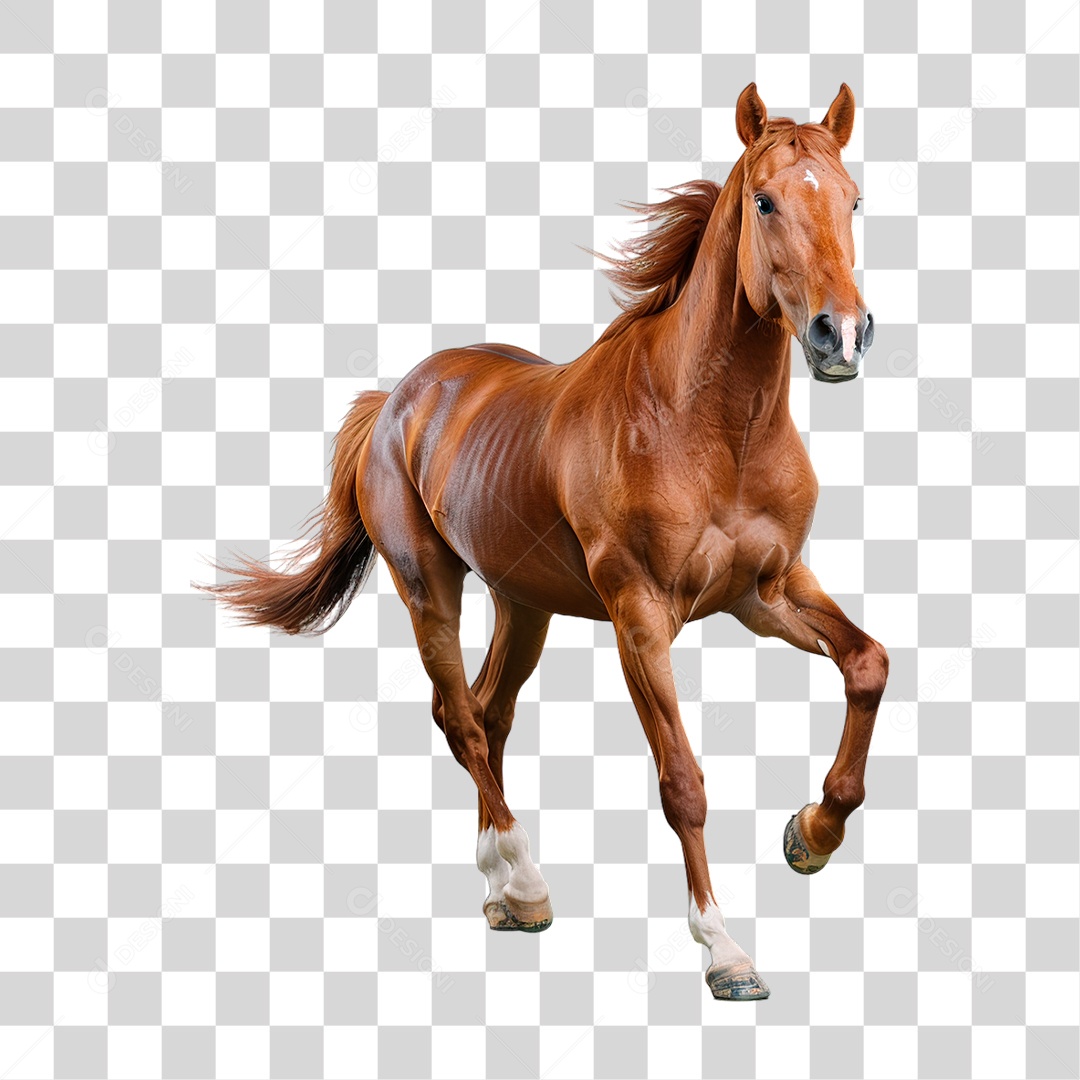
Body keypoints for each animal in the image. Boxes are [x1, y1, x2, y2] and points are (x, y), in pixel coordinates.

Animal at [196, 83, 889, 1002]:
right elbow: (683, 781)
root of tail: (396, 400)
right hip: (430, 588)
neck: (710, 429)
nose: (839, 334)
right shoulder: (641, 619)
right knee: (462, 718)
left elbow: (867, 664)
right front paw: (725, 950)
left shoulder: (766, 591)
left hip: (523, 604)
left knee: (489, 713)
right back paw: (520, 881)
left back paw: (503, 892)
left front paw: (811, 833)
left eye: (853, 201)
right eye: (766, 201)